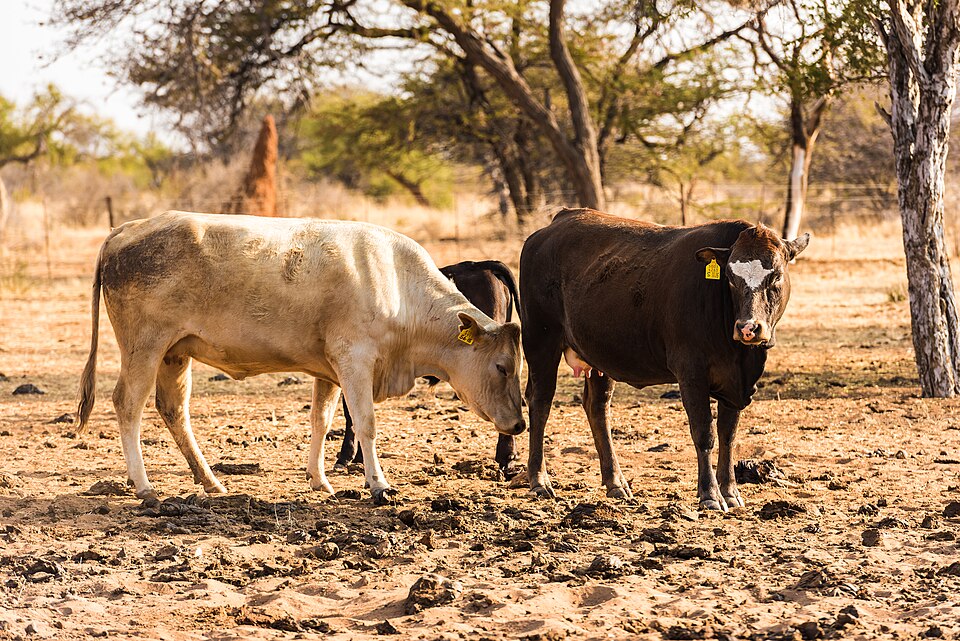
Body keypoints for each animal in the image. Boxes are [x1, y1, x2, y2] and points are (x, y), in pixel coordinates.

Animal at [519, 208, 809, 511]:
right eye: (730, 277)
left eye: (776, 276)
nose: (748, 328)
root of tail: (558, 221)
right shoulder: (691, 372)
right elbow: (704, 432)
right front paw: (710, 494)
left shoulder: (735, 382)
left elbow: (728, 434)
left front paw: (730, 491)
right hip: (541, 339)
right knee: (540, 401)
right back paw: (539, 480)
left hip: (599, 358)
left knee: (597, 407)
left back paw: (616, 483)